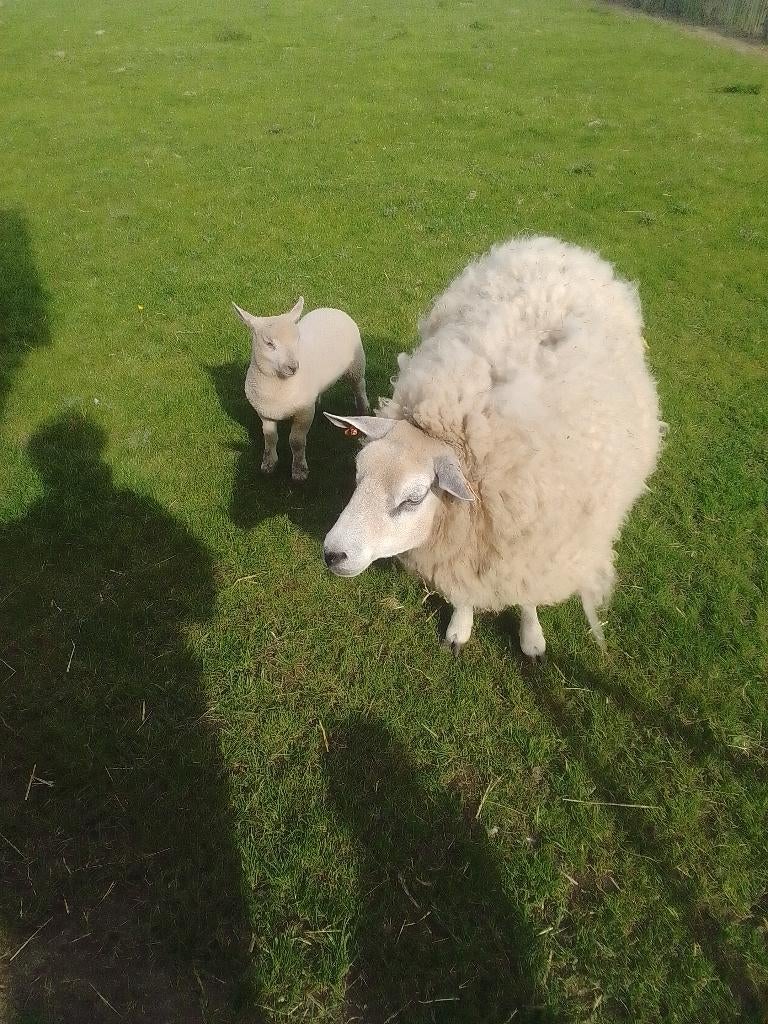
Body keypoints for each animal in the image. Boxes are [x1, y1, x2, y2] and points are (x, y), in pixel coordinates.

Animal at [232, 298, 369, 481]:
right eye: (269, 343)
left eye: (297, 339)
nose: (293, 367)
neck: (278, 387)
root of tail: (331, 309)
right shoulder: (265, 413)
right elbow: (270, 439)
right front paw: (268, 464)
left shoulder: (303, 413)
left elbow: (296, 442)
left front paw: (299, 471)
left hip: (356, 366)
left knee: (359, 386)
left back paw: (363, 408)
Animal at [321, 236, 663, 658]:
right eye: (358, 474)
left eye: (414, 499)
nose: (332, 553)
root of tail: (557, 245)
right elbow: (464, 594)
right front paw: (460, 625)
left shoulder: (528, 550)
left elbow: (527, 598)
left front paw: (532, 635)